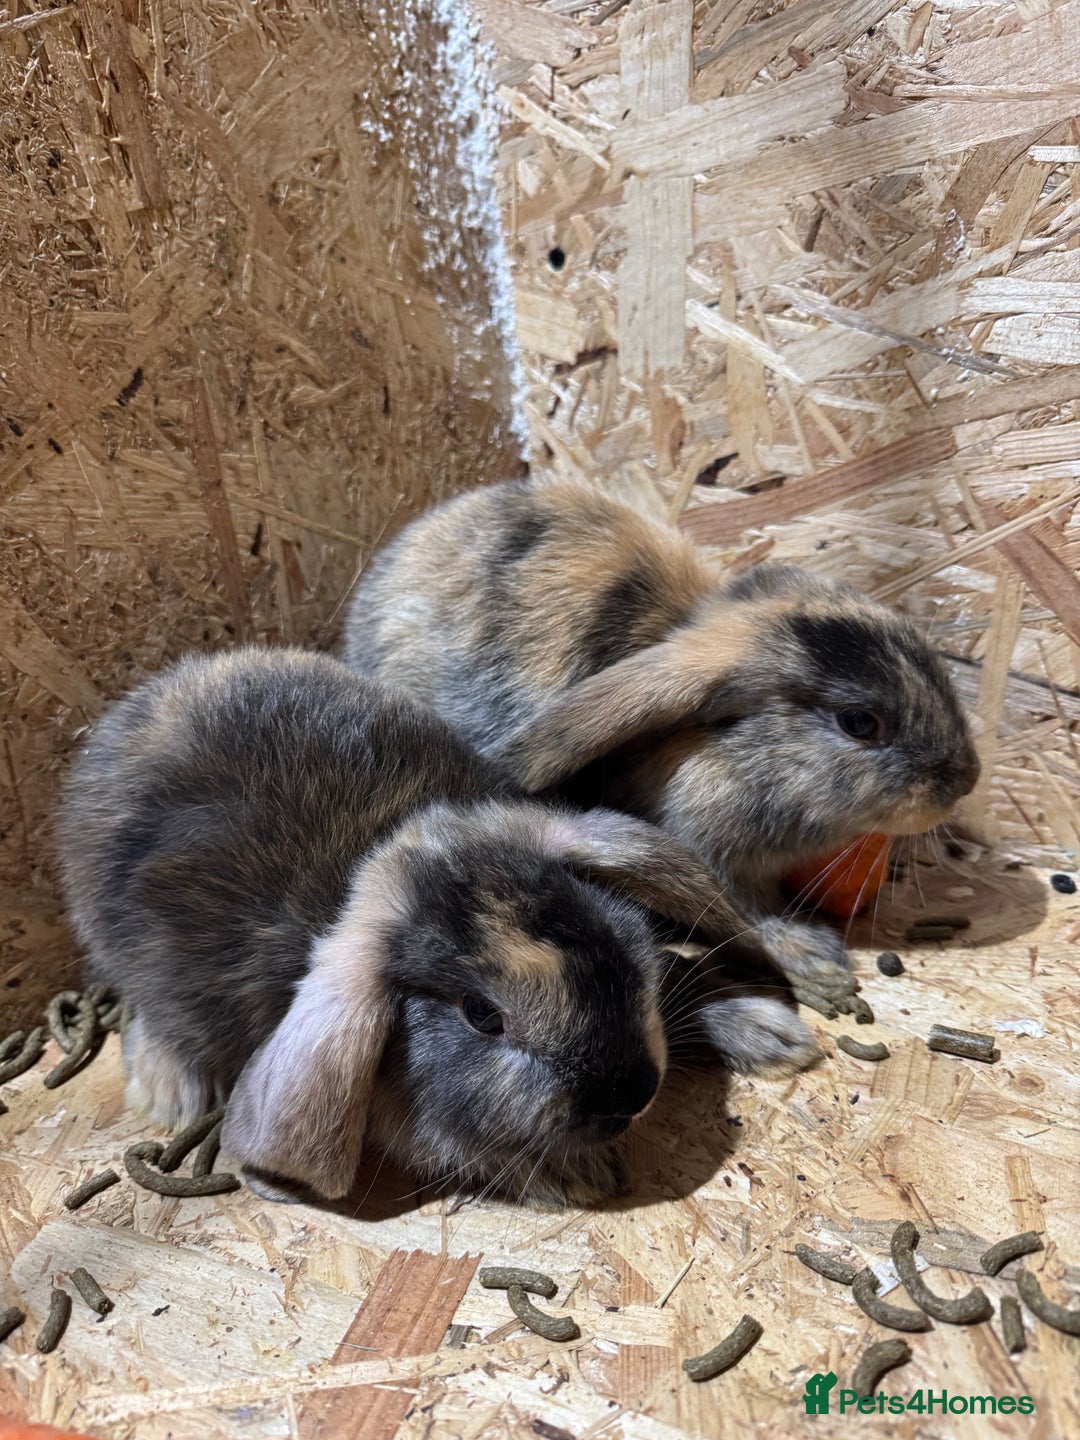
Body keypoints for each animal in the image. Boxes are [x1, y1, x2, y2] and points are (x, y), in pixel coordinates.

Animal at [57, 647, 816, 1206]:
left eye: (609, 942)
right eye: (481, 1016)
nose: (631, 1092)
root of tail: (121, 719)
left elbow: (682, 971)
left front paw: (769, 1031)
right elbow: (464, 1150)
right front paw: (579, 1177)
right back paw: (168, 1090)